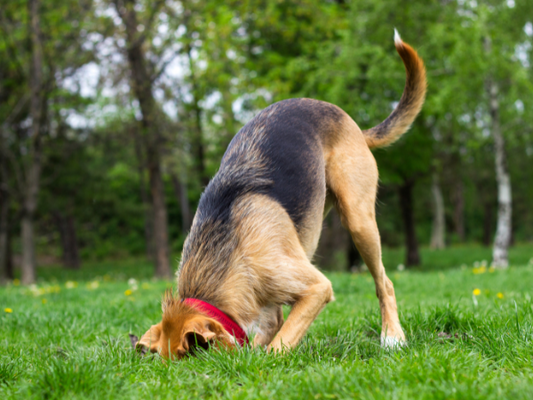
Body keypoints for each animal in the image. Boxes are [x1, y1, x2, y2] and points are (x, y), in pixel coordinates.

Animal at [139, 29, 426, 358]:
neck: (225, 252)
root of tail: (354, 126)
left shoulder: (315, 288)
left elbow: (278, 345)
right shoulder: (267, 309)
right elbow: (271, 329)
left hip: (359, 220)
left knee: (384, 282)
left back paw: (392, 336)